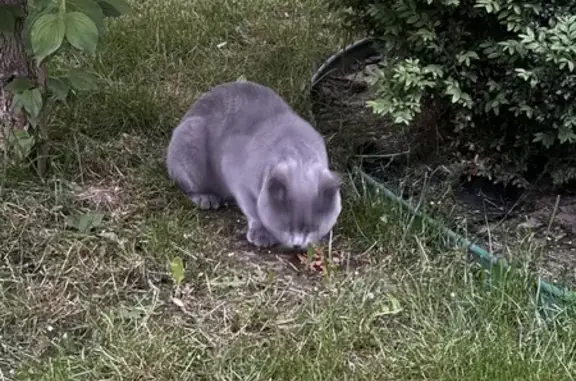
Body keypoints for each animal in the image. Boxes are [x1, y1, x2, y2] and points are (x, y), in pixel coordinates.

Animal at [164, 80, 340, 248]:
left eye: (314, 228)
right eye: (286, 226)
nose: (297, 245)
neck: (299, 155)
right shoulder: (236, 176)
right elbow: (254, 209)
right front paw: (261, 234)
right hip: (189, 140)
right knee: (185, 184)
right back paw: (206, 198)